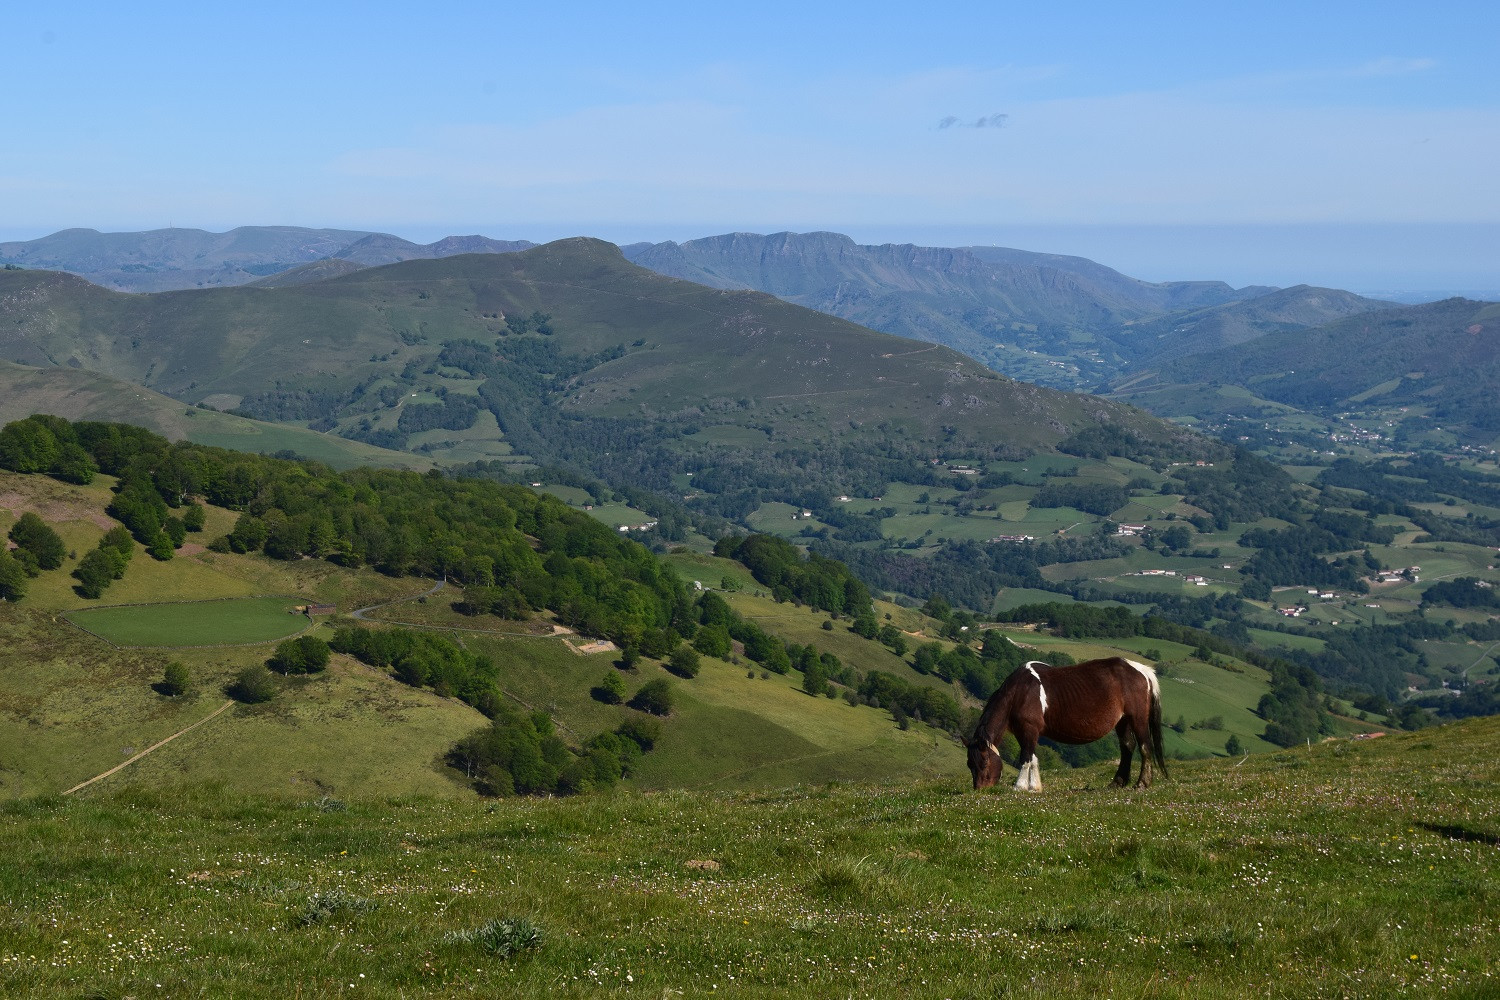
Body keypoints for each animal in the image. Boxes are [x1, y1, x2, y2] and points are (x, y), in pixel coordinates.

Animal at [966, 659, 1164, 791]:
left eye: (984, 762)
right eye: (969, 764)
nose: (979, 789)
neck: (1019, 692)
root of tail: (1143, 671)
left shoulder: (1028, 730)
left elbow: (1026, 758)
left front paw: (1019, 786)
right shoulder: (1026, 733)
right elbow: (1033, 757)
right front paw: (1034, 787)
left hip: (1137, 718)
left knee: (1145, 747)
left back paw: (1142, 783)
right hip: (1123, 721)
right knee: (1127, 747)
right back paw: (1117, 782)